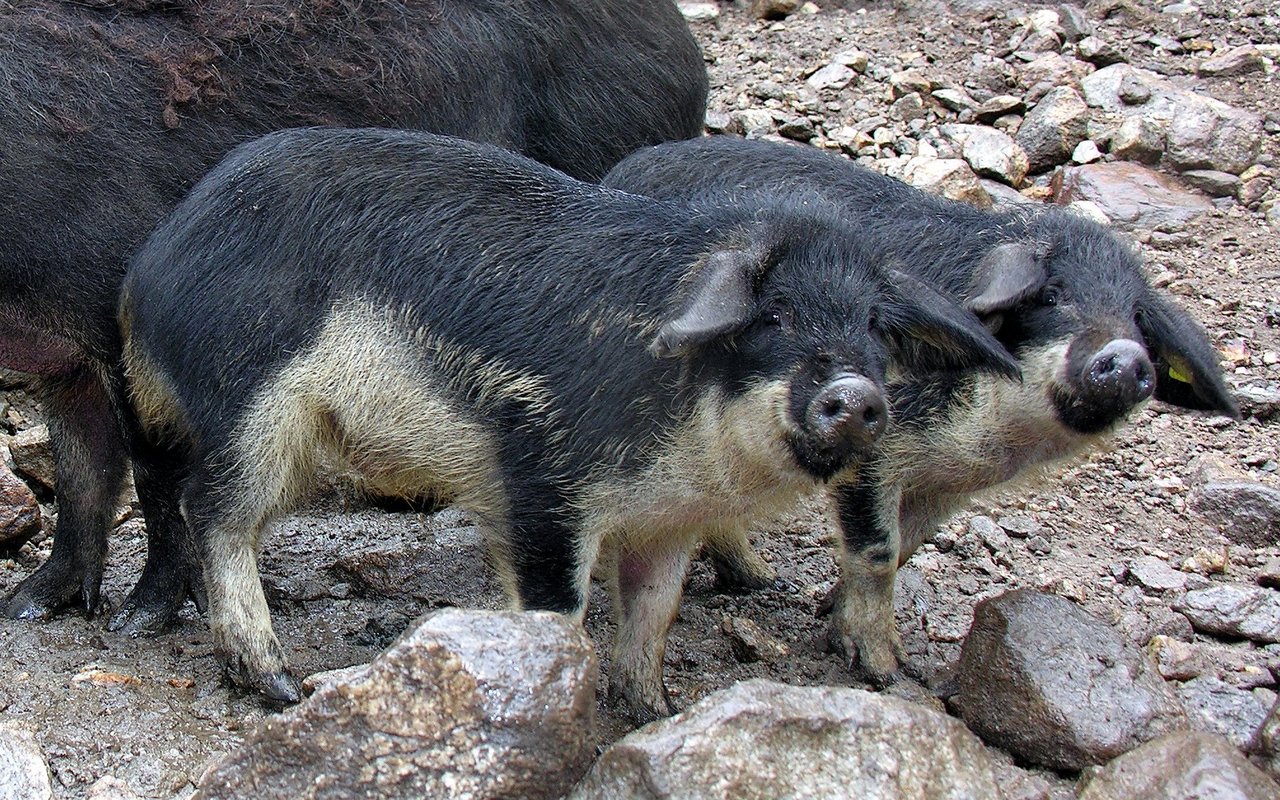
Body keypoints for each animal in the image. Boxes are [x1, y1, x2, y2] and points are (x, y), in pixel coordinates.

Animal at [120, 129, 1018, 716]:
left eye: (874, 326)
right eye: (775, 315)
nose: (857, 394)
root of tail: (152, 264)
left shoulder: (670, 518)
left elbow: (654, 610)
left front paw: (653, 710)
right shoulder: (540, 463)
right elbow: (559, 609)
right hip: (249, 397)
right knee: (215, 512)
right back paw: (278, 685)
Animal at [601, 135, 1239, 680]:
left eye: (1137, 317)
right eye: (1053, 296)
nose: (1127, 357)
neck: (998, 439)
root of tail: (625, 170)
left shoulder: (945, 488)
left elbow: (908, 548)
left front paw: (828, 613)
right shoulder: (877, 449)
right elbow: (880, 552)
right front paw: (884, 669)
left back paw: (764, 579)